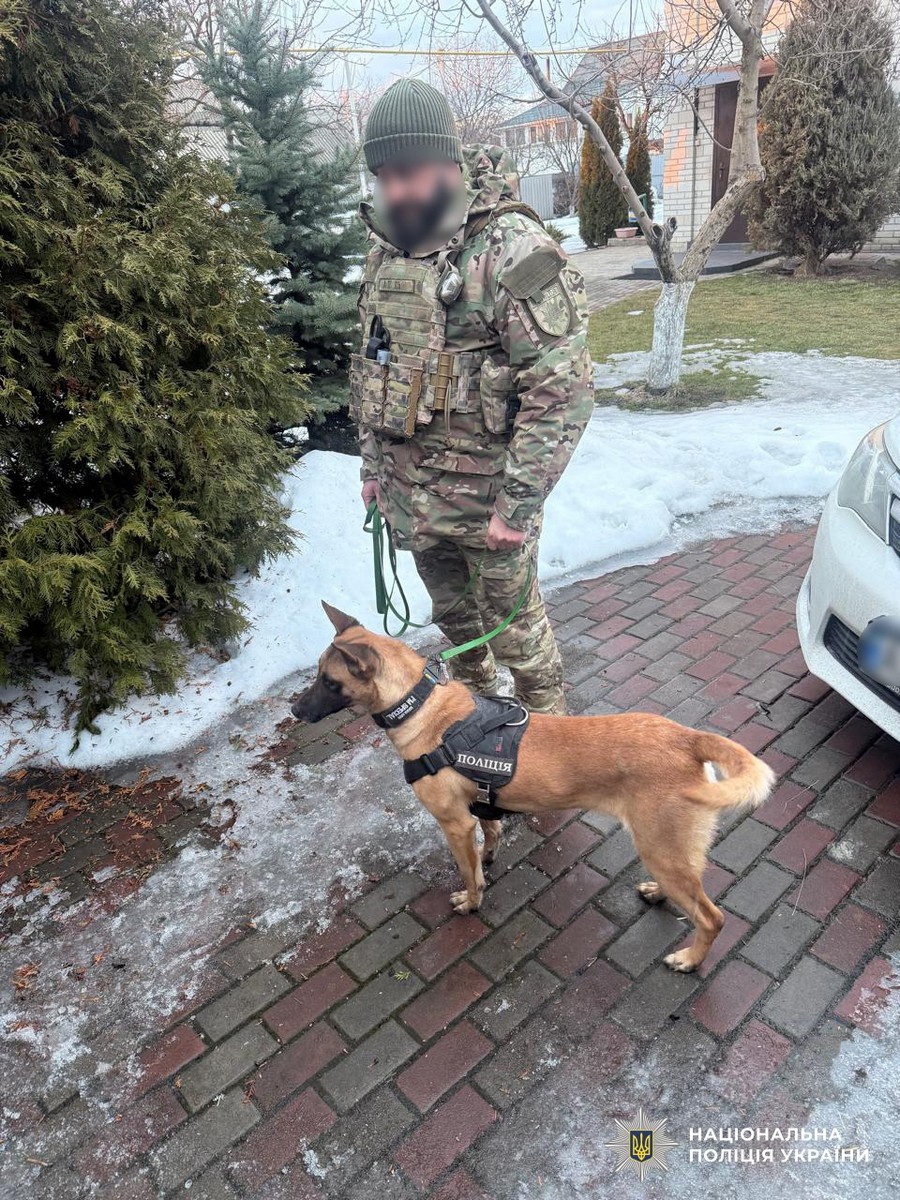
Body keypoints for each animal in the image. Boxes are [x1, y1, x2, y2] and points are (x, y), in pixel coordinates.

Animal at [292, 601, 776, 972]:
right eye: (316, 674)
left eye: (329, 681)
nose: (295, 711)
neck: (422, 707)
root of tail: (687, 738)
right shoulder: (478, 811)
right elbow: (489, 838)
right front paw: (489, 858)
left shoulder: (454, 824)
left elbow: (468, 873)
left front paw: (472, 901)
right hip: (669, 851)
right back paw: (658, 893)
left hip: (661, 846)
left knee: (711, 917)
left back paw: (690, 959)